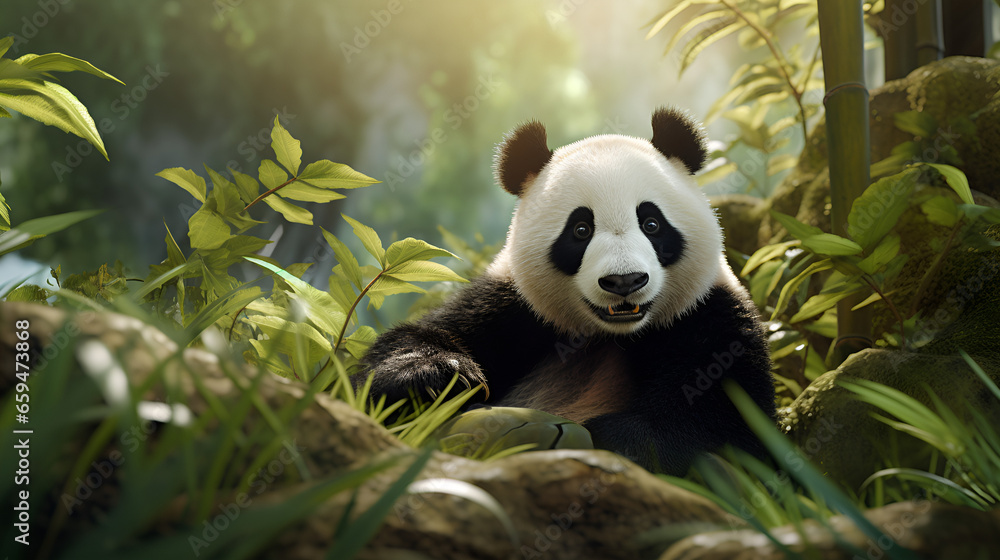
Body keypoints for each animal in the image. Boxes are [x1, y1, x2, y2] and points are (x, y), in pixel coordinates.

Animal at [359, 107, 775, 474]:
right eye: (580, 230)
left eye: (652, 223)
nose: (625, 281)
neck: (610, 335)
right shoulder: (510, 306)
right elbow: (415, 344)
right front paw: (436, 375)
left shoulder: (710, 314)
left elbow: (731, 420)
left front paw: (619, 439)